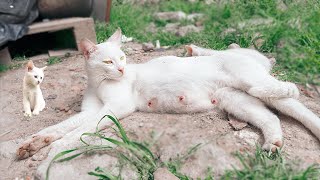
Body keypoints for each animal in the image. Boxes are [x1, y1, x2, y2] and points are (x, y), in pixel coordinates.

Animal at [15, 28, 320, 179]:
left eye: (123, 58)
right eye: (108, 61)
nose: (122, 70)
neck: (99, 82)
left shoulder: (115, 108)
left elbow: (79, 131)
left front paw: (52, 153)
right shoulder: (92, 110)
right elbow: (60, 127)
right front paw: (32, 143)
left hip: (245, 75)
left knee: (283, 90)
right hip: (234, 98)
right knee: (272, 116)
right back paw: (273, 143)